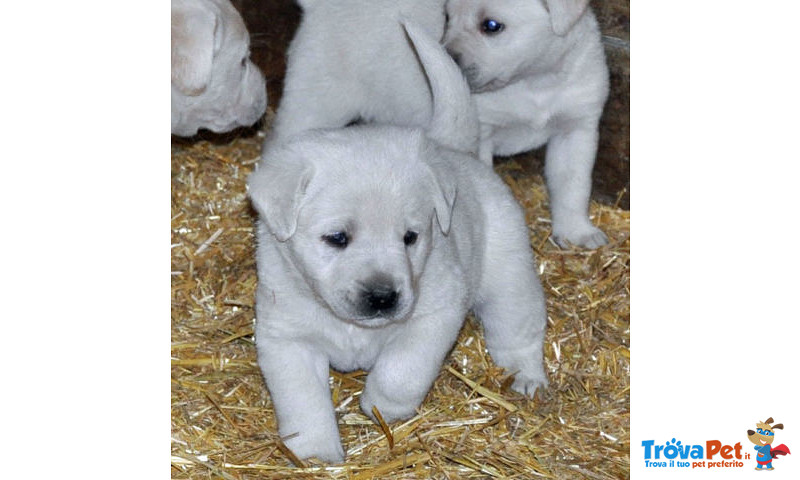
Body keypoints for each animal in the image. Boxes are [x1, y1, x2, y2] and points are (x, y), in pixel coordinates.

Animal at [248, 21, 552, 462]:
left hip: (509, 276)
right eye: (337, 238)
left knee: (518, 330)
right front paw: (317, 453)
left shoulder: (435, 314)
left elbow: (401, 370)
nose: (382, 297)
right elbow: (302, 400)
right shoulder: (286, 337)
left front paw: (381, 407)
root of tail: (450, 149)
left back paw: (528, 379)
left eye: (410, 237)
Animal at [444, 0, 612, 248]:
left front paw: (576, 232)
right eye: (447, 17)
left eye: (491, 26)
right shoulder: (480, 135)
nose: (444, 56)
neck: (533, 82)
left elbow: (573, 186)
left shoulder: (575, 130)